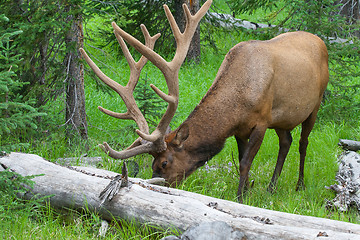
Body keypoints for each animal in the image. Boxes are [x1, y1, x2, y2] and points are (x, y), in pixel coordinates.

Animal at [81, 0, 330, 202]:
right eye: (153, 164)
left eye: (164, 163)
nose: (157, 183)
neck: (238, 104)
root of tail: (320, 40)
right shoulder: (241, 130)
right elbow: (243, 160)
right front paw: (247, 191)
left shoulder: (261, 121)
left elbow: (245, 163)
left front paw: (240, 198)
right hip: (283, 118)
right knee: (286, 141)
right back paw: (271, 187)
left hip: (315, 105)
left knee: (303, 143)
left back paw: (300, 185)